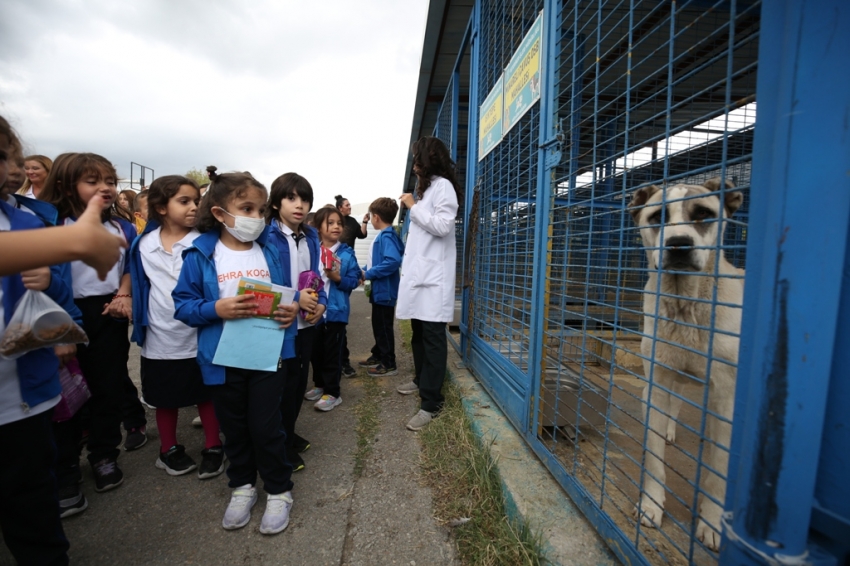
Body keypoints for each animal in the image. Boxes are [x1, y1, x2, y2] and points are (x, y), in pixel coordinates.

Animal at [628, 180, 740, 552]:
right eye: (656, 217)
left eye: (703, 213)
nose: (678, 243)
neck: (683, 306)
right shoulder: (657, 381)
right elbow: (654, 458)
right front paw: (651, 506)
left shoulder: (726, 397)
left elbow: (718, 470)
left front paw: (712, 524)